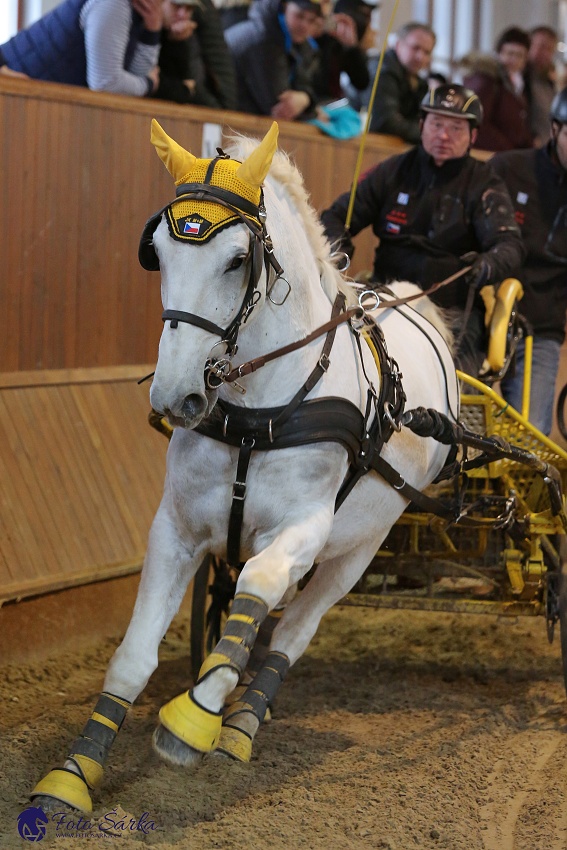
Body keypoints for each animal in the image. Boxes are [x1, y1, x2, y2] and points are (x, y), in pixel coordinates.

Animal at [31, 117, 460, 808]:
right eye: (157, 251)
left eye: (237, 260)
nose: (174, 396)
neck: (264, 412)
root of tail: (407, 303)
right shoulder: (175, 528)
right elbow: (134, 656)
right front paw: (74, 774)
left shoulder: (305, 527)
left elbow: (260, 588)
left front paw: (192, 722)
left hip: (361, 548)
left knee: (290, 632)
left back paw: (238, 726)